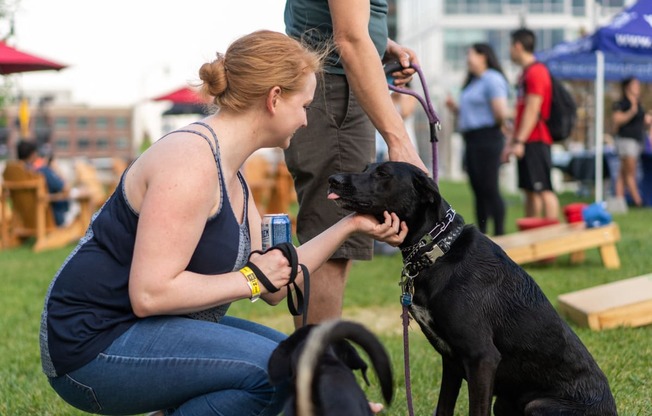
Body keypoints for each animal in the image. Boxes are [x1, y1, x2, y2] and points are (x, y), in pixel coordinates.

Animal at [328, 162, 620, 416]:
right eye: (365, 168)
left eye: (383, 173)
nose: (333, 179)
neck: (438, 250)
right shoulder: (452, 362)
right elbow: (443, 409)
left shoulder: (482, 358)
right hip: (503, 403)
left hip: (537, 405)